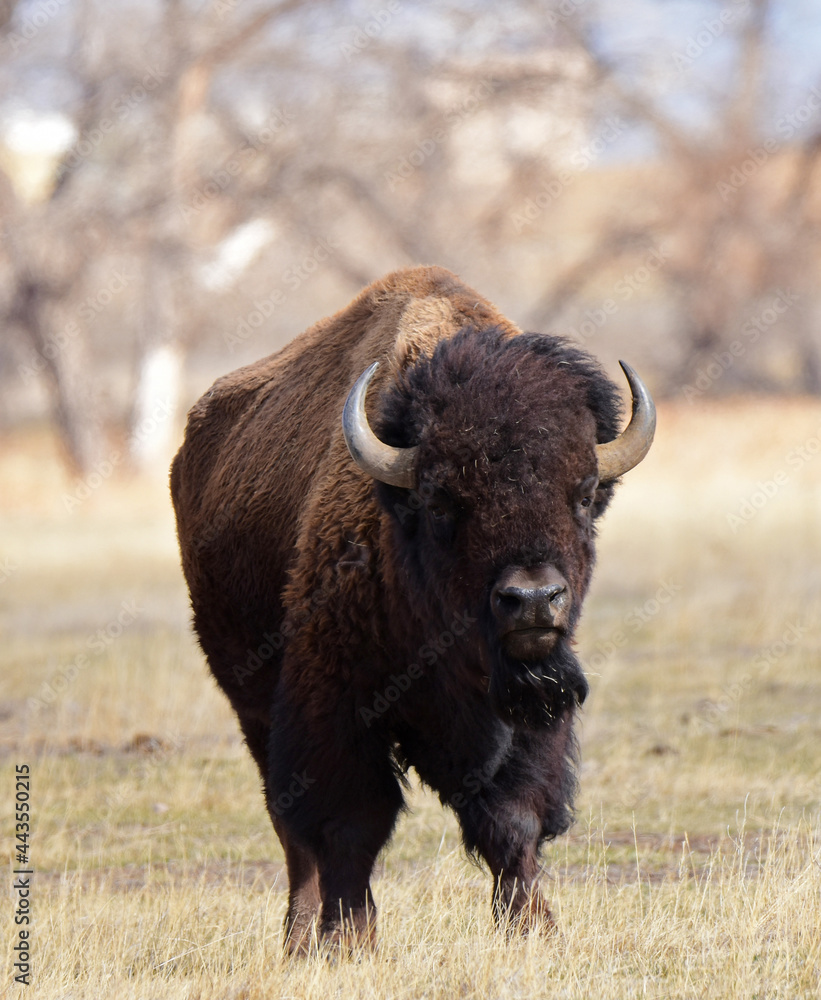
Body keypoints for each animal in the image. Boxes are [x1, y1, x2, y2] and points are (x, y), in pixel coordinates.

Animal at [171, 266, 652, 952]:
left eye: (584, 494)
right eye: (443, 501)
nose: (533, 600)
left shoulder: (533, 713)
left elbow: (514, 821)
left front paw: (534, 929)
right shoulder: (334, 709)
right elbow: (349, 826)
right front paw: (350, 940)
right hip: (253, 706)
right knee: (292, 831)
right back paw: (299, 938)